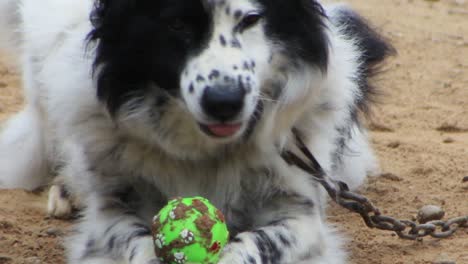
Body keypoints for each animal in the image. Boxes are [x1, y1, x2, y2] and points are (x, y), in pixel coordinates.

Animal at [0, 0, 394, 264]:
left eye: (251, 20)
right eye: (176, 24)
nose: (224, 102)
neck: (204, 148)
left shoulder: (300, 214)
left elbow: (259, 243)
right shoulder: (110, 213)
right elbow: (135, 241)